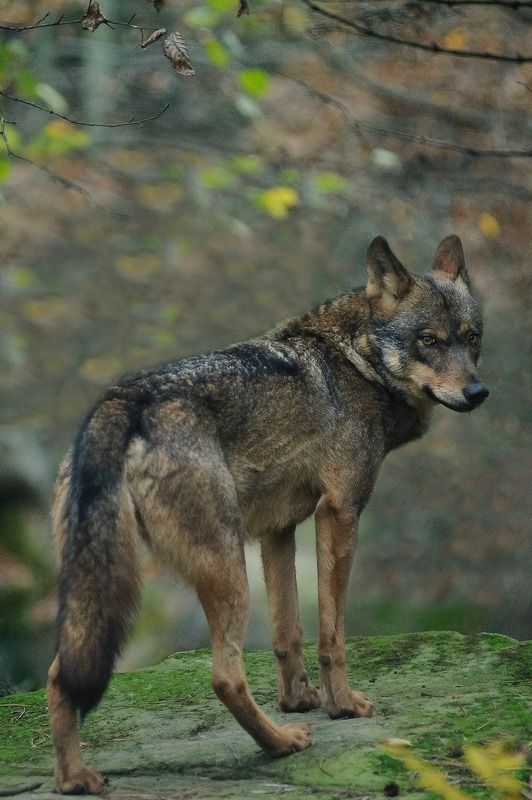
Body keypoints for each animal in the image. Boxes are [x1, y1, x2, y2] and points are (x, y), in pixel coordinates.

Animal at [47, 235, 488, 793]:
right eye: (428, 340)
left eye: (471, 339)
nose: (477, 392)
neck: (357, 361)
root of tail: (122, 401)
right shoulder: (338, 514)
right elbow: (331, 632)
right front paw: (343, 706)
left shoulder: (279, 531)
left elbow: (287, 632)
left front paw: (300, 701)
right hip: (224, 570)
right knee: (225, 677)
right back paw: (281, 744)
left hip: (103, 585)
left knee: (60, 673)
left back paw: (74, 778)